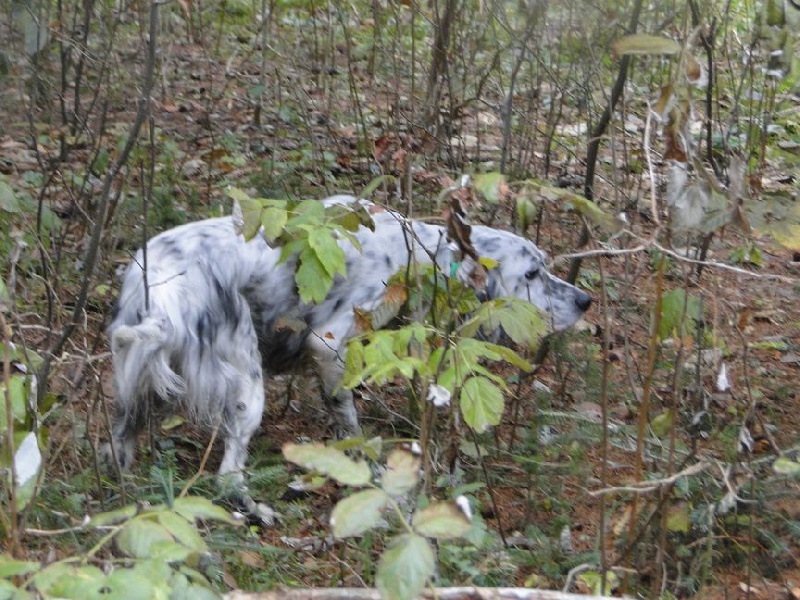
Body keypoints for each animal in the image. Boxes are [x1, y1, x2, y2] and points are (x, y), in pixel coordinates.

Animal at [108, 195, 588, 516]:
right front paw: (366, 466)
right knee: (228, 475)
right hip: (246, 386)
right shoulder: (329, 343)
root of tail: (161, 285)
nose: (585, 300)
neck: (415, 254)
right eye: (532, 273)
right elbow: (349, 419)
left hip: (137, 386)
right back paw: (253, 508)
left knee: (120, 440)